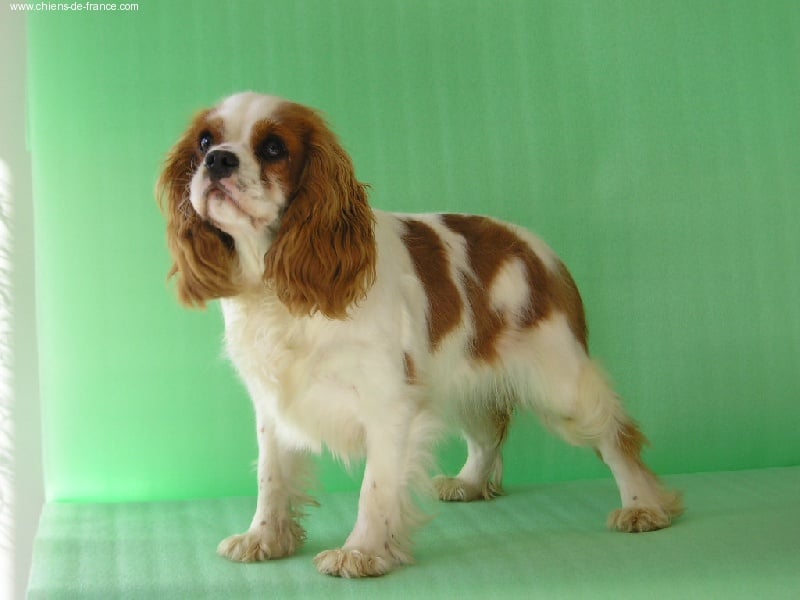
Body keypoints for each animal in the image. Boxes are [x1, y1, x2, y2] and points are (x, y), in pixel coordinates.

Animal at [158, 92, 680, 576]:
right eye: (204, 141)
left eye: (272, 148)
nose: (218, 159)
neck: (277, 287)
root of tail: (541, 253)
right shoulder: (274, 404)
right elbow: (272, 477)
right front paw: (264, 538)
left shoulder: (389, 402)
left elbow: (375, 488)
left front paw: (361, 552)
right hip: (465, 378)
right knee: (489, 432)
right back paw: (470, 483)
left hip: (562, 385)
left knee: (616, 435)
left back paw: (644, 506)